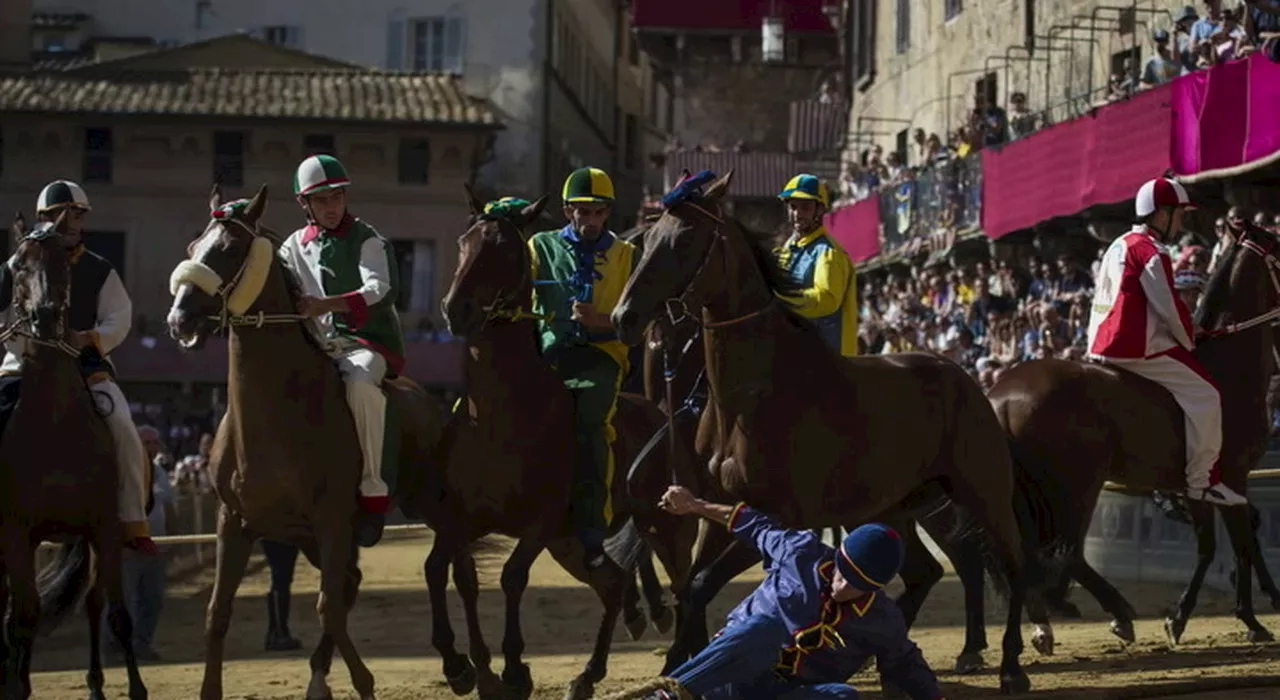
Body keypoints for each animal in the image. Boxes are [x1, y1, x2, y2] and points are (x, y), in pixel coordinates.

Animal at [162, 182, 448, 696]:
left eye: (229, 248)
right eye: (194, 247)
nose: (180, 320)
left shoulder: (330, 519)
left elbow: (327, 607)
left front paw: (364, 681)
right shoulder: (233, 521)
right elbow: (218, 613)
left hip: (426, 506)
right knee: (352, 583)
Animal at [437, 190, 701, 700]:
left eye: (504, 249)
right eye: (463, 241)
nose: (456, 309)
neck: (499, 415)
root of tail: (664, 417)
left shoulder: (540, 523)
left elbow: (511, 577)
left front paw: (514, 668)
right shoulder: (463, 518)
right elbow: (464, 578)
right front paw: (474, 669)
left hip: (666, 526)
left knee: (685, 589)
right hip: (573, 543)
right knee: (615, 584)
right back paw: (589, 673)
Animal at [614, 172, 1054, 691]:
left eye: (683, 240)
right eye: (648, 243)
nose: (623, 318)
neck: (751, 396)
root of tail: (969, 380)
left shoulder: (780, 516)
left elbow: (701, 586)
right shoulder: (722, 511)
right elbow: (690, 587)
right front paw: (676, 664)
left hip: (981, 490)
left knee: (1011, 563)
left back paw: (1010, 666)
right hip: (892, 505)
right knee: (923, 572)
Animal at [988, 221, 1280, 655]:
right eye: (1279, 243)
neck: (1227, 369)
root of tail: (1001, 395)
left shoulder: (1200, 486)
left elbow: (1213, 546)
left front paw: (1184, 617)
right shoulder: (1232, 476)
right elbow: (1240, 544)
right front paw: (1249, 618)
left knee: (1036, 552)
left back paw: (1047, 622)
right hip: (1078, 485)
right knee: (1066, 551)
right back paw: (1113, 612)